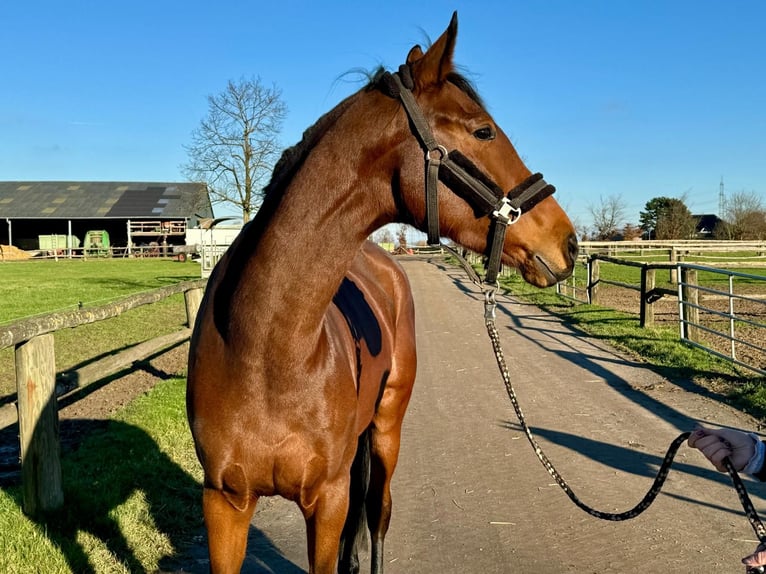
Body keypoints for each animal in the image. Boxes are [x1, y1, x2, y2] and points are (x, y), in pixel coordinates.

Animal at [188, 13, 576, 574]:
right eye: (483, 130)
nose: (567, 241)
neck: (264, 350)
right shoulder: (224, 503)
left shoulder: (326, 500)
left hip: (388, 430)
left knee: (377, 514)